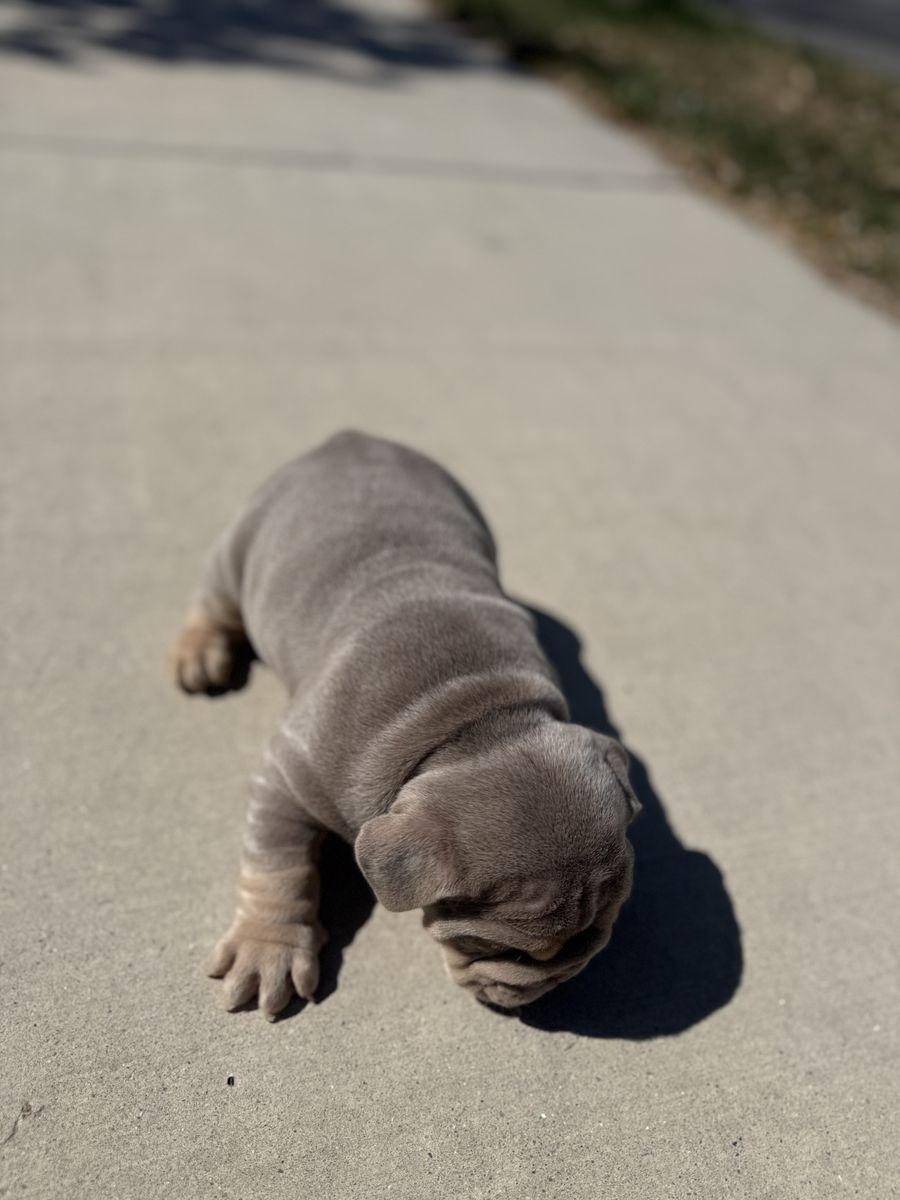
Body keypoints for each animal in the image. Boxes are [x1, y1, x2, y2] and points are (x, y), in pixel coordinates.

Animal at [170, 431, 638, 1018]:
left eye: (608, 922)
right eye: (510, 951)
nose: (548, 990)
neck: (474, 724)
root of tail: (348, 438)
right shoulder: (292, 776)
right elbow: (277, 864)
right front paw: (266, 950)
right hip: (236, 548)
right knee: (211, 602)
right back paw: (197, 654)